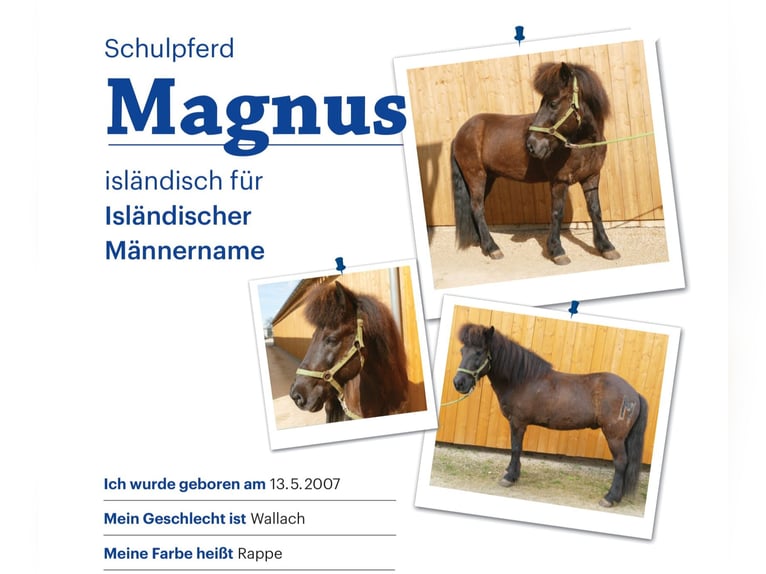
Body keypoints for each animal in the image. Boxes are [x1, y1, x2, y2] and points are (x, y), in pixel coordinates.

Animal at [452, 61, 619, 265]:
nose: (531, 145)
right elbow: (557, 213)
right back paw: (492, 248)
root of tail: (461, 133)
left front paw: (606, 247)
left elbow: (595, 210)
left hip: (488, 177)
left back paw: (481, 242)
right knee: (477, 208)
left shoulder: (591, 177)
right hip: (476, 176)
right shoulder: (559, 181)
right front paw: (557, 251)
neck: (582, 144)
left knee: (475, 207)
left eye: (553, 103)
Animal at [452, 323, 648, 507]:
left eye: (479, 352)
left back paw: (610, 498)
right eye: (462, 351)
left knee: (621, 463)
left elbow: (516, 448)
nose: (459, 383)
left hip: (614, 437)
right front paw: (510, 472)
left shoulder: (518, 423)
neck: (522, 380)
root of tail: (634, 393)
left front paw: (510, 478)